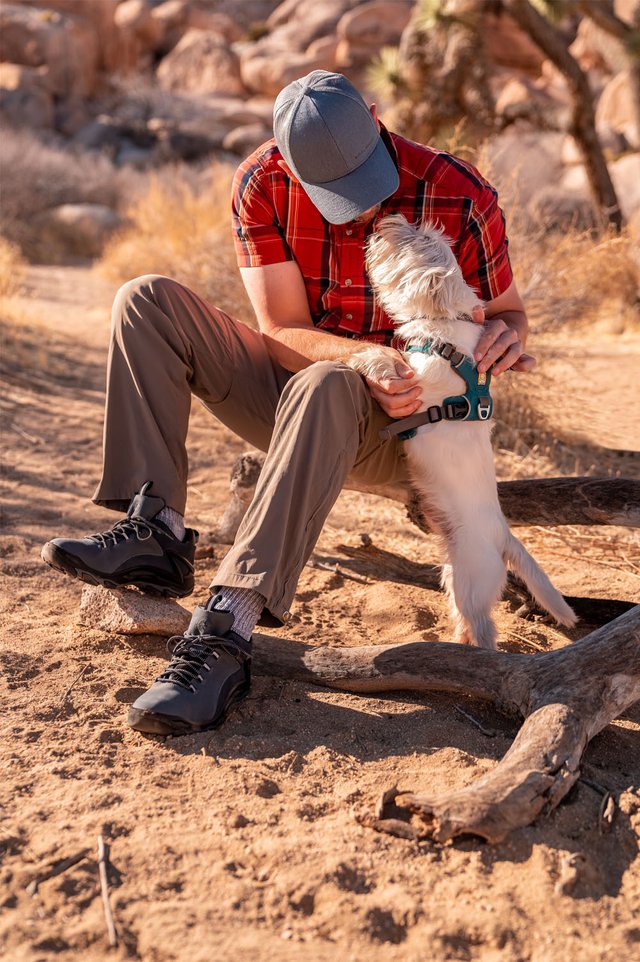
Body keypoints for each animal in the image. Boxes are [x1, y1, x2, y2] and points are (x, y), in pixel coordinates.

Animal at [348, 210, 576, 644]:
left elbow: (389, 362)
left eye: (417, 239)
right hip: (454, 575)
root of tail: (503, 533)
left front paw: (364, 358)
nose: (390, 217)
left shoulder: (417, 382)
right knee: (466, 621)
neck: (446, 331)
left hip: (472, 580)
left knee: (485, 627)